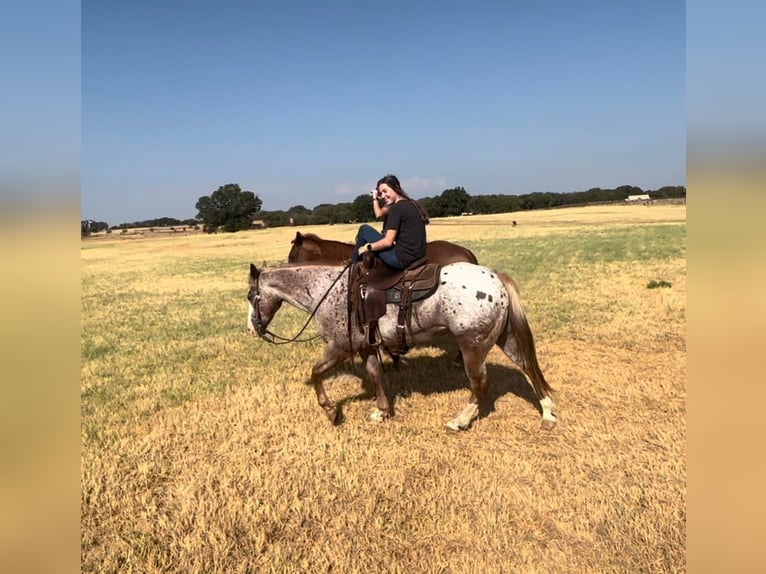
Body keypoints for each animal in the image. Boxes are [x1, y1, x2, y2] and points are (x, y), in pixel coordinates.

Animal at [249, 260, 556, 432]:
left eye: (251, 296)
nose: (252, 329)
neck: (326, 291)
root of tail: (495, 277)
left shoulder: (340, 346)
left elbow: (316, 373)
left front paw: (331, 410)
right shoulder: (367, 347)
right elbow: (375, 374)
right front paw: (382, 411)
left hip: (472, 345)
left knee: (479, 384)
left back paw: (459, 421)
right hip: (503, 337)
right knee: (528, 368)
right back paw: (548, 413)